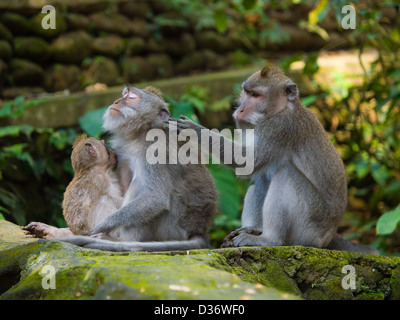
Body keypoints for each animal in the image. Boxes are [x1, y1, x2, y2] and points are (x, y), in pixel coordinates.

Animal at [55, 85, 217, 252]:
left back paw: (121, 240)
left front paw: (102, 226)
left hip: (171, 229)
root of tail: (199, 231)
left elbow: (155, 198)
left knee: (140, 185)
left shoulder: (156, 149)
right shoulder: (122, 150)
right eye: (124, 94)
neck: (141, 134)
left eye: (132, 96)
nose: (116, 101)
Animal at [174, 65, 378, 255]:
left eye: (256, 95)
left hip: (311, 228)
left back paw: (269, 240)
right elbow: (258, 174)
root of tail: (331, 235)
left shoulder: (279, 127)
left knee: (286, 176)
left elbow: (247, 163)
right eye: (247, 92)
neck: (280, 109)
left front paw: (194, 129)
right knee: (259, 183)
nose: (240, 110)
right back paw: (256, 230)